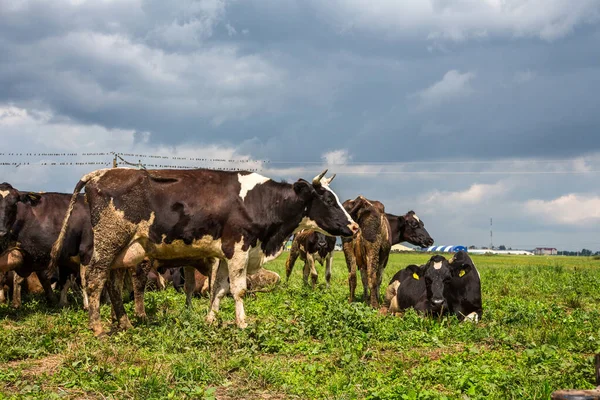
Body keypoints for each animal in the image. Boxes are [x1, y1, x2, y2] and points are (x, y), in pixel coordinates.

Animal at [50, 167, 356, 336]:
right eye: (329, 200)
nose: (353, 226)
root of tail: (100, 173)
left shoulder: (224, 254)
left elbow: (219, 289)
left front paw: (210, 319)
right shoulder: (238, 247)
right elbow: (239, 289)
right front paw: (242, 323)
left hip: (122, 250)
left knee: (112, 285)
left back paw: (124, 323)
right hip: (108, 242)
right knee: (94, 280)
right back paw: (98, 328)